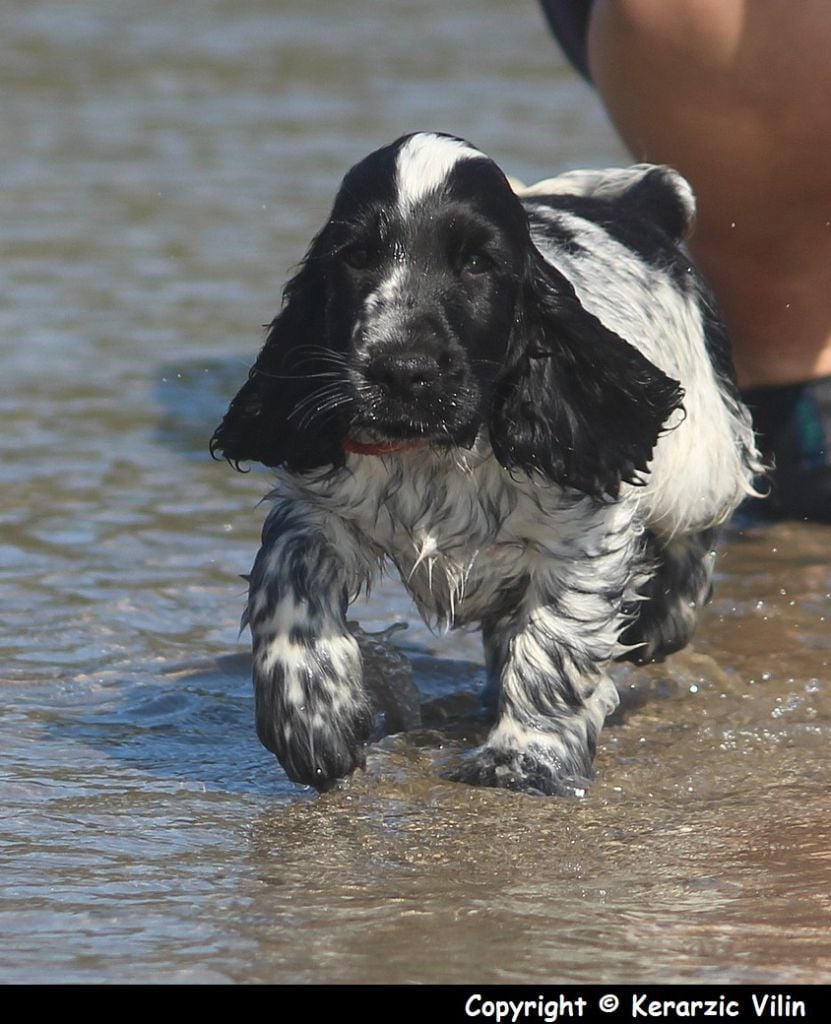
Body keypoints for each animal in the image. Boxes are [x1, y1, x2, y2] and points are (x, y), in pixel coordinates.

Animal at [212, 132, 761, 794]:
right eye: (357, 256)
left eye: (477, 263)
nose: (402, 370)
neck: (439, 451)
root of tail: (640, 202)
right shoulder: (316, 510)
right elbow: (287, 591)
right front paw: (313, 719)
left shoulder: (579, 540)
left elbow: (555, 646)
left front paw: (523, 758)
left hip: (702, 456)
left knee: (693, 534)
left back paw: (661, 618)